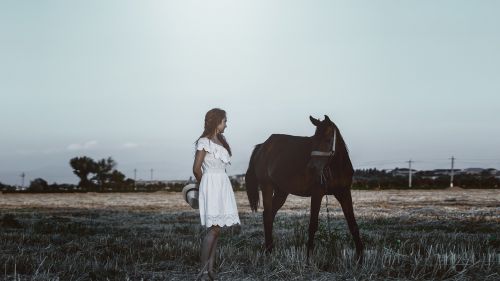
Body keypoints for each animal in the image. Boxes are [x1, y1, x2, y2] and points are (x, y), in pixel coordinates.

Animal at [246, 114, 364, 262]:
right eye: (313, 140)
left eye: (327, 140)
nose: (312, 168)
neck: (336, 167)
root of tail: (262, 146)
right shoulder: (317, 193)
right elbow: (313, 225)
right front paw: (308, 259)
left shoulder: (344, 192)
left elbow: (353, 224)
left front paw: (360, 259)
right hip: (267, 186)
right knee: (267, 215)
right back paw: (268, 251)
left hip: (281, 192)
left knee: (270, 215)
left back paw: (271, 249)